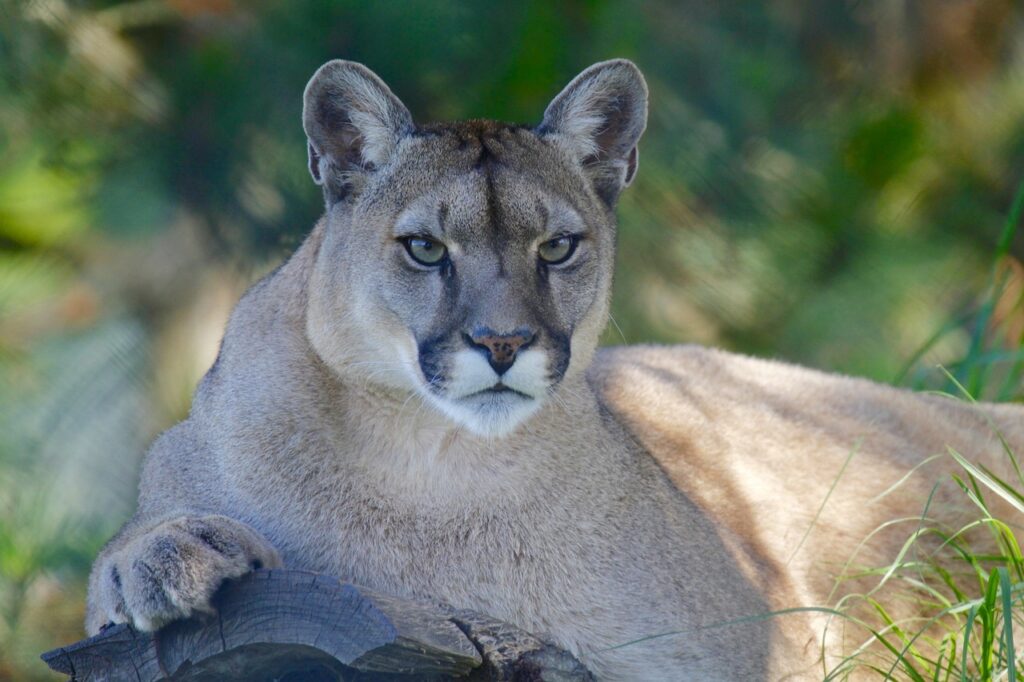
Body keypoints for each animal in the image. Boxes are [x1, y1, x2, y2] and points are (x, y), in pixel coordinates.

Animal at [88, 61, 1024, 675]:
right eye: (425, 248)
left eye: (558, 246)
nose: (503, 343)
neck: (426, 464)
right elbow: (111, 559)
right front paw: (170, 553)